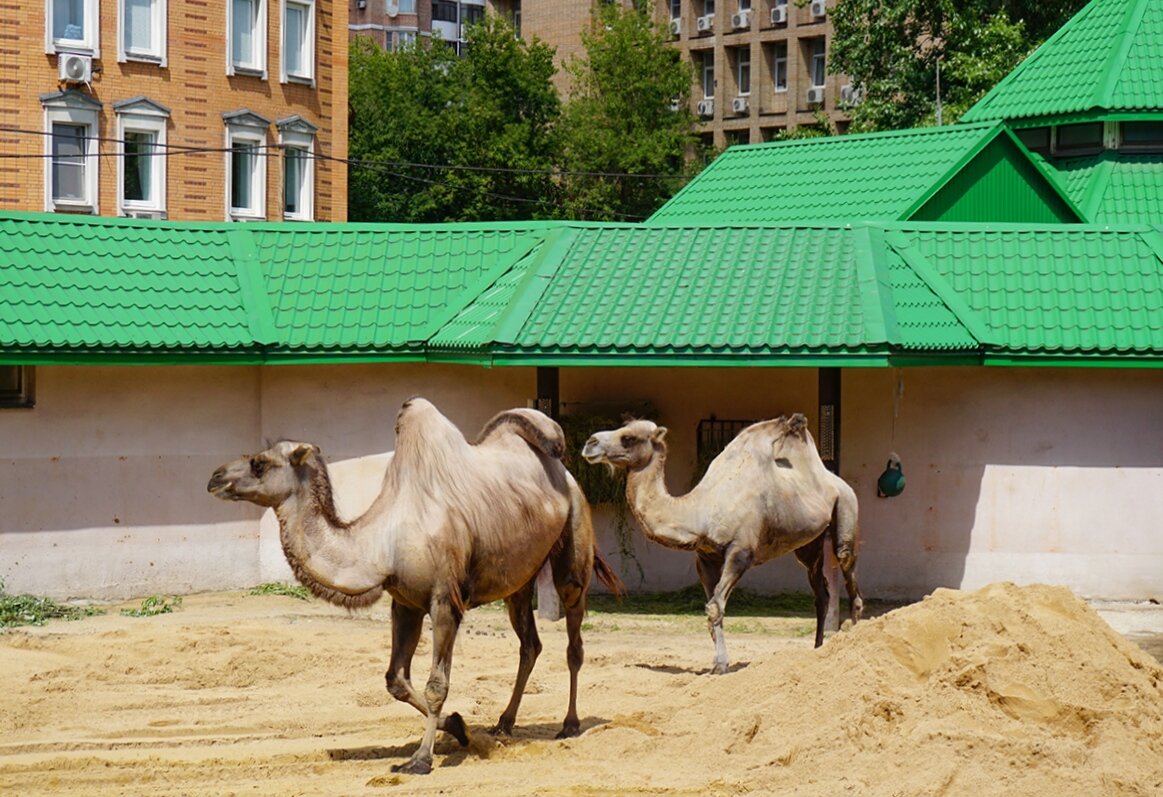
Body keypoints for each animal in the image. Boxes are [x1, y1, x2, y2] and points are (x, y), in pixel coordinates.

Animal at [209, 397, 628, 772]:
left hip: (573, 545)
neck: (383, 542)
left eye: (259, 463)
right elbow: (395, 679)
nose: (214, 478)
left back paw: (569, 724)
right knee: (530, 643)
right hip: (518, 578)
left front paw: (421, 759)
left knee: (574, 639)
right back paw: (504, 723)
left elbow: (436, 684)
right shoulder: (406, 603)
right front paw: (459, 727)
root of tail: (565, 472)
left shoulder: (444, 601)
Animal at [586, 409, 860, 670]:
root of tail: (835, 481)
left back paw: (855, 636)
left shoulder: (740, 552)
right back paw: (817, 648)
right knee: (821, 591)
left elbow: (716, 606)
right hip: (808, 544)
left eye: (628, 438)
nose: (590, 442)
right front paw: (718, 663)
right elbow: (711, 606)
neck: (700, 512)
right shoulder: (706, 558)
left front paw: (719, 666)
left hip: (846, 508)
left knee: (847, 567)